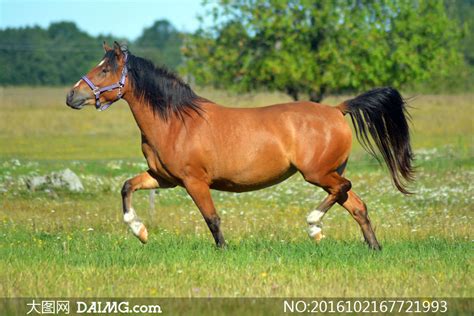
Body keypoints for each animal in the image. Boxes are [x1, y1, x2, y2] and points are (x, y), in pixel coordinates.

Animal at [66, 42, 414, 251]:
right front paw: (139, 231)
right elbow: (127, 186)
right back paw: (374, 248)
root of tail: (336, 109)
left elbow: (212, 218)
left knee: (344, 188)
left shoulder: (194, 181)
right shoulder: (163, 178)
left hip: (318, 173)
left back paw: (314, 226)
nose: (72, 96)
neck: (177, 122)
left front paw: (222, 250)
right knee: (357, 205)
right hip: (327, 173)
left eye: (105, 69)